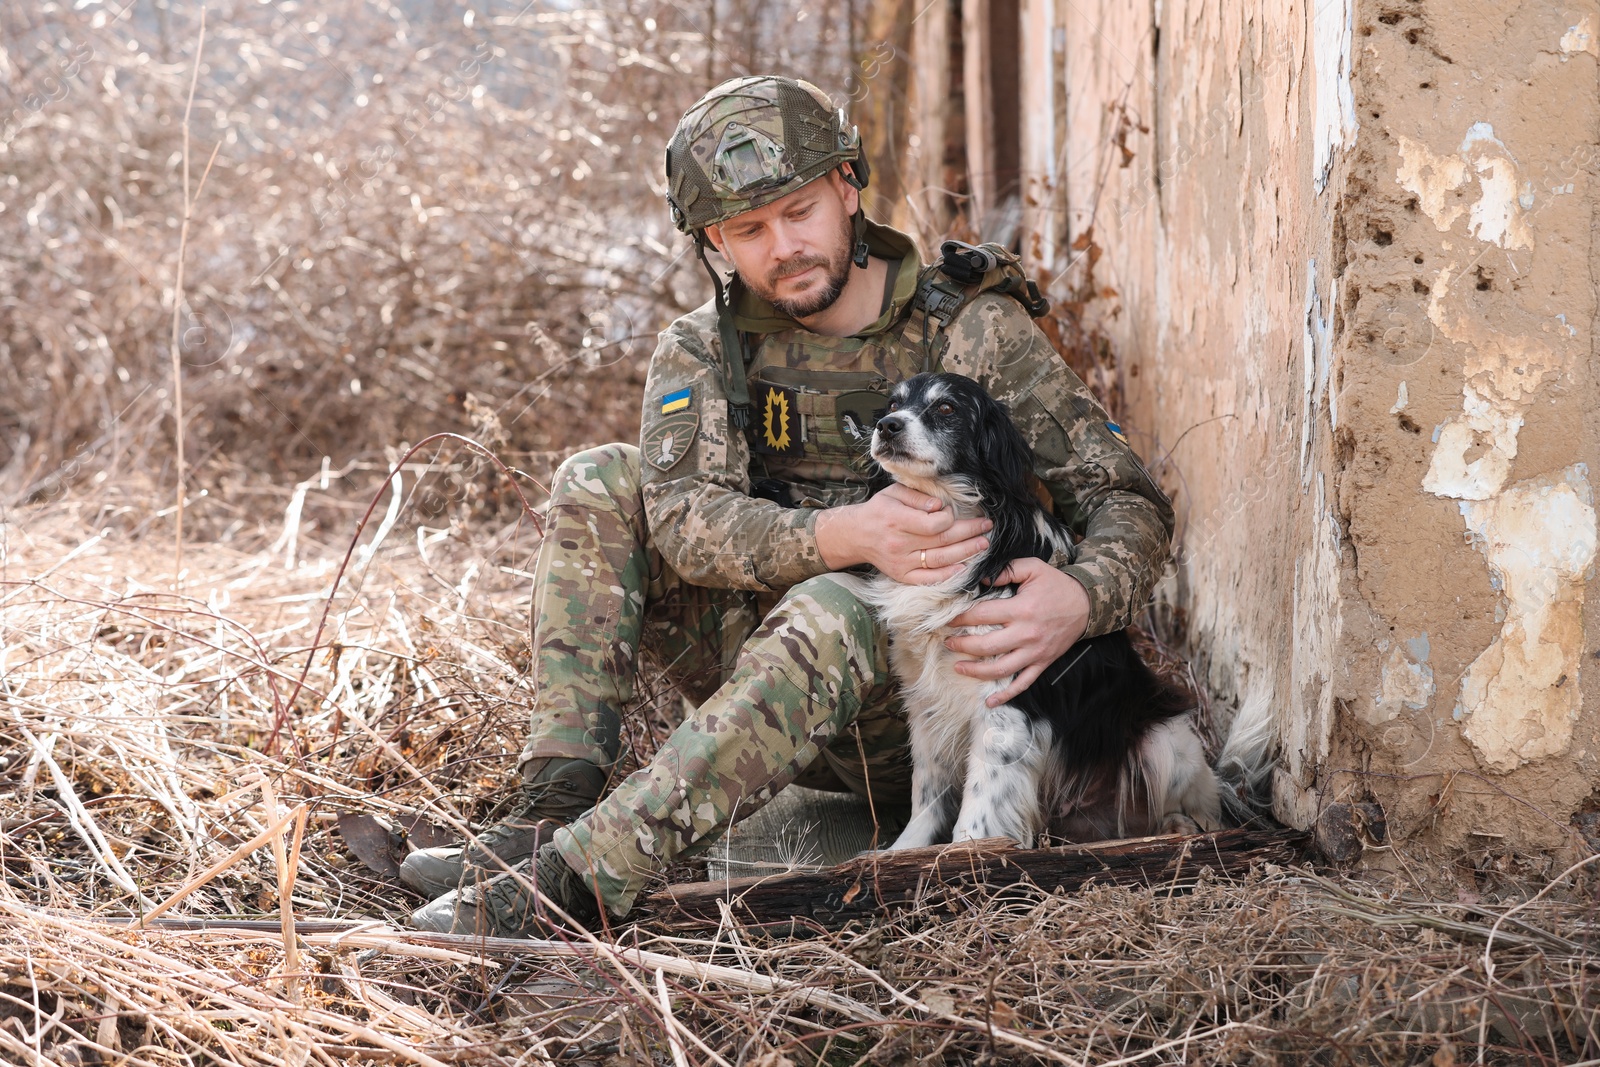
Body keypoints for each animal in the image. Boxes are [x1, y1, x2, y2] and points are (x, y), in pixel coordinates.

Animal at [857, 374, 1267, 851]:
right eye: (893, 404)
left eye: (946, 409)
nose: (886, 427)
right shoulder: (926, 702)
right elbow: (927, 796)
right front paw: (902, 855)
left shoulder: (1005, 706)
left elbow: (977, 811)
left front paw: (966, 859)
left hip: (1165, 740)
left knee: (1202, 810)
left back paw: (1180, 827)